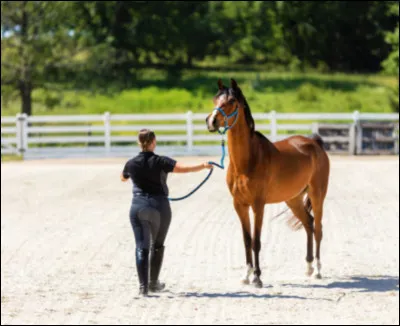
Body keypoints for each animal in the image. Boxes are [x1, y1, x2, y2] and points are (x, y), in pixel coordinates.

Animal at [205, 78, 330, 288]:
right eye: (215, 99)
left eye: (231, 101)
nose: (211, 121)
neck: (247, 161)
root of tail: (315, 144)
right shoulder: (239, 205)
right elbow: (247, 240)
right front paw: (246, 275)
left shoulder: (258, 205)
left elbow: (256, 241)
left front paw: (257, 277)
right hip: (293, 199)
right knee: (308, 223)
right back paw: (308, 267)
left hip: (317, 195)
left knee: (319, 229)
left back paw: (319, 271)